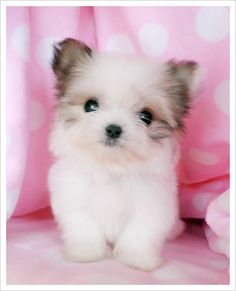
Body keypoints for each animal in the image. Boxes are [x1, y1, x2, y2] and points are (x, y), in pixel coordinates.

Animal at [48, 38, 199, 272]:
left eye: (146, 116)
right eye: (90, 105)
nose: (113, 129)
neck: (112, 168)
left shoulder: (150, 206)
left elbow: (139, 234)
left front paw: (137, 259)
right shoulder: (74, 200)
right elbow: (84, 228)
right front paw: (86, 253)